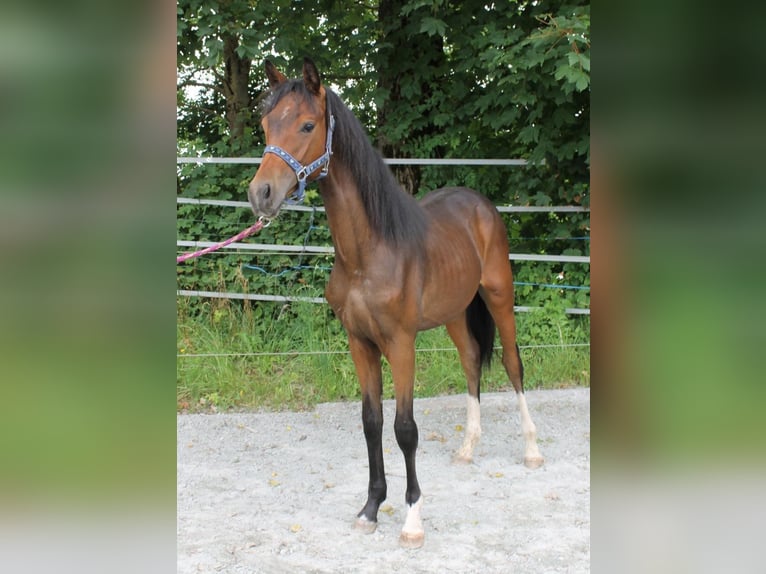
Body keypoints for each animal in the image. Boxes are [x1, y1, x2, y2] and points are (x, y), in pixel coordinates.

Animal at [248, 57, 544, 548]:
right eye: (267, 125)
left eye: (307, 124)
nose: (261, 194)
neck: (367, 254)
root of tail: (479, 205)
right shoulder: (359, 343)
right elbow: (371, 422)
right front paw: (370, 509)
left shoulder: (401, 343)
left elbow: (405, 429)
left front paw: (411, 520)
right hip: (455, 313)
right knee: (470, 361)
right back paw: (467, 448)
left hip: (499, 296)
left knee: (513, 364)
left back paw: (533, 450)